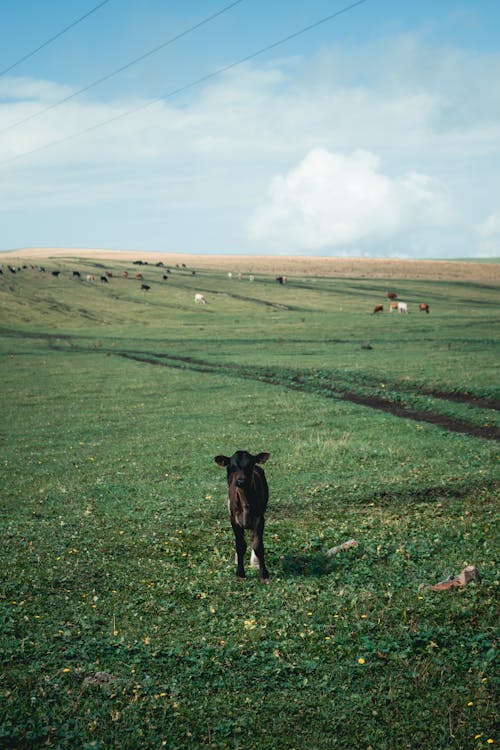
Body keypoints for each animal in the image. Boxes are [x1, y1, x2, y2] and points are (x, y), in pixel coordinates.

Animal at [214, 450, 272, 584]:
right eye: (232, 467)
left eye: (249, 465)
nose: (240, 481)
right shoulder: (233, 519)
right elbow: (240, 545)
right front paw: (240, 573)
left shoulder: (259, 519)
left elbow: (258, 545)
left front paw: (263, 574)